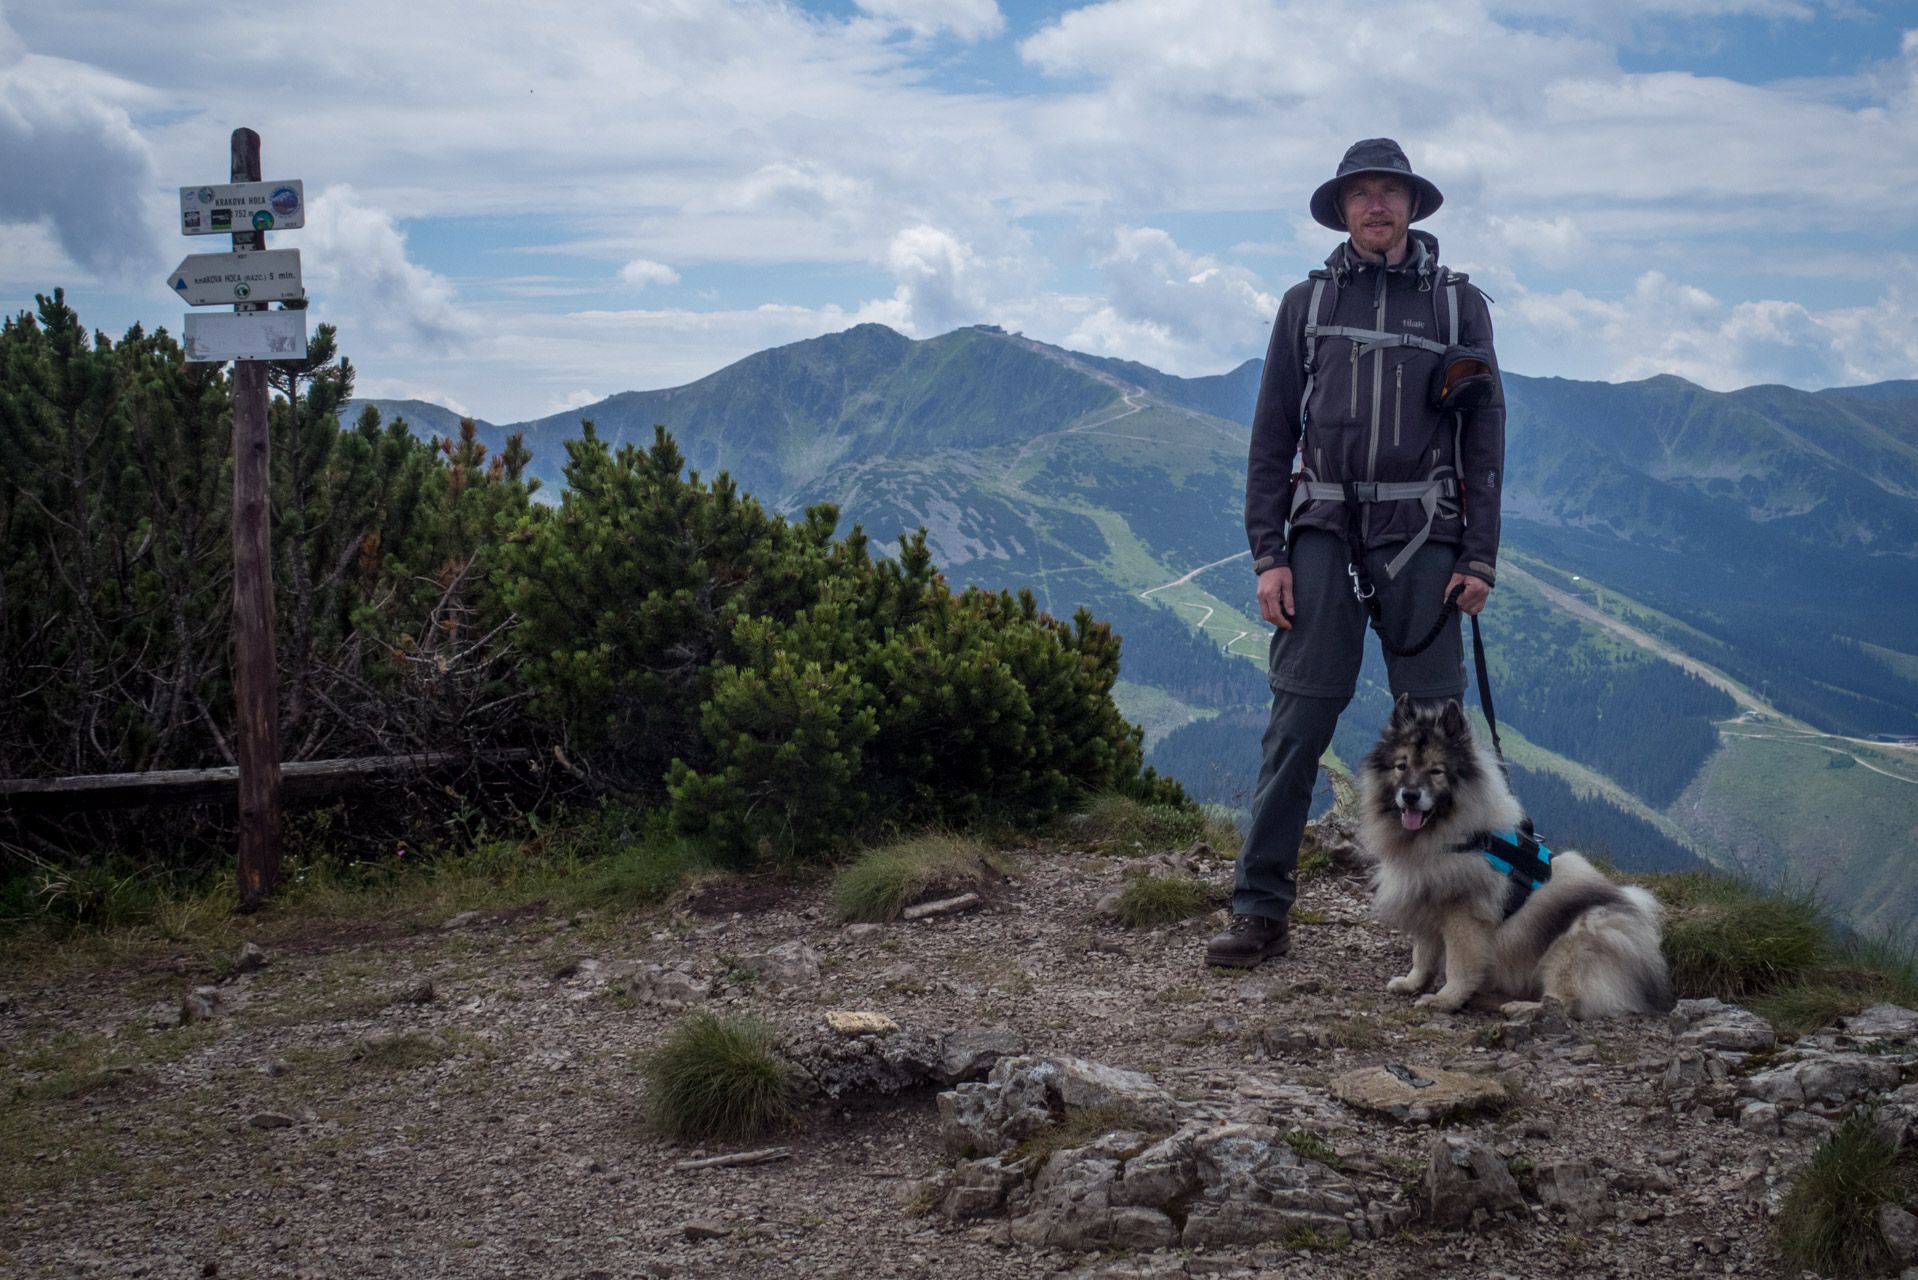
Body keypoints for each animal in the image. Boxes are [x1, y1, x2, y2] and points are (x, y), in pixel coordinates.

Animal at [1357, 694, 1672, 1013]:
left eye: (1436, 771)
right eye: (1401, 766)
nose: (1410, 795)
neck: (1456, 837)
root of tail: (1647, 962)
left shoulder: (1463, 918)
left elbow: (1458, 966)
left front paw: (1444, 999)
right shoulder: (1428, 906)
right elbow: (1421, 956)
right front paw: (1412, 983)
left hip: (1576, 941)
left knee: (1563, 1001)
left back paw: (1521, 1007)